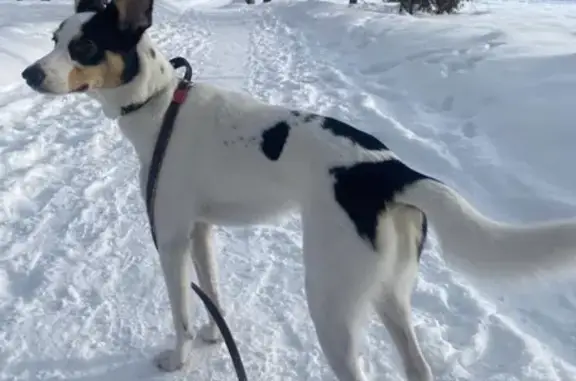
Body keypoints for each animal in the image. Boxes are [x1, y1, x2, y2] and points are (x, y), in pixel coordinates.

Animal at [20, 0, 576, 378]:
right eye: (53, 37)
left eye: (83, 46)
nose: (27, 73)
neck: (159, 106)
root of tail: (390, 169)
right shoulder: (201, 231)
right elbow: (211, 292)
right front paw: (214, 335)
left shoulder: (172, 237)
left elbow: (180, 313)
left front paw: (179, 358)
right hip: (389, 294)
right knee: (417, 367)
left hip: (331, 303)